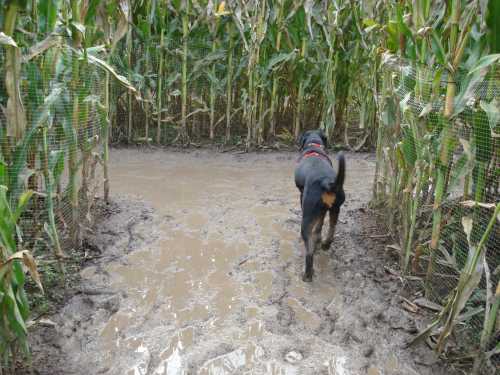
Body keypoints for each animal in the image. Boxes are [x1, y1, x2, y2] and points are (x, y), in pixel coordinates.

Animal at [294, 129, 346, 282]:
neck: (314, 145)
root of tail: (326, 181)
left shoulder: (301, 195)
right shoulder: (323, 210)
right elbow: (320, 224)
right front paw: (318, 237)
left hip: (307, 218)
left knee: (309, 252)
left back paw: (307, 274)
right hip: (336, 208)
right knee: (332, 229)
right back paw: (325, 244)